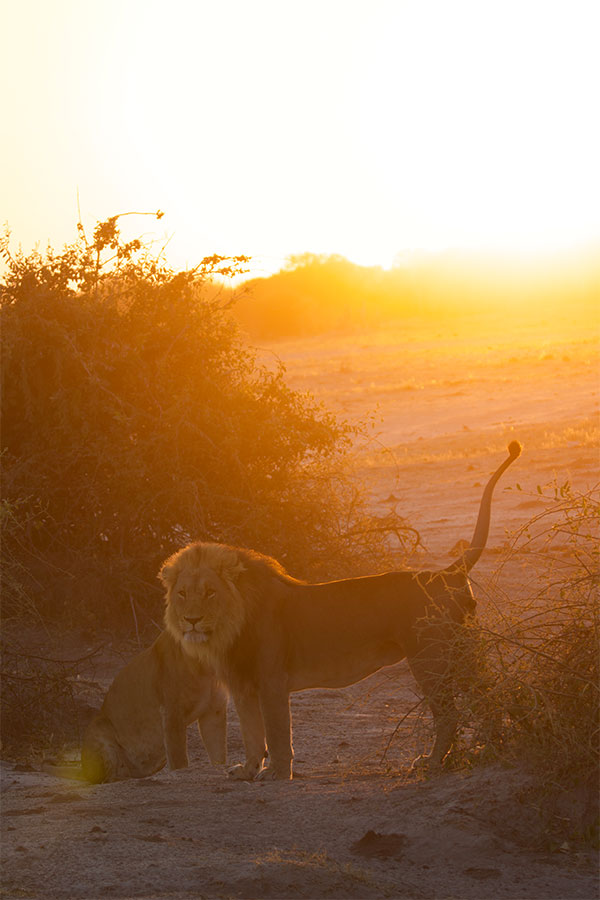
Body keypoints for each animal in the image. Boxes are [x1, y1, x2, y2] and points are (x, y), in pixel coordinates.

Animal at [159, 442, 520, 780]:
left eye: (210, 593)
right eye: (182, 594)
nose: (191, 620)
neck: (230, 626)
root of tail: (446, 572)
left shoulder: (272, 680)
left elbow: (276, 732)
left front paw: (277, 773)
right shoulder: (243, 686)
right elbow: (251, 734)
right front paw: (247, 770)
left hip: (430, 658)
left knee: (449, 713)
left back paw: (433, 762)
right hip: (462, 652)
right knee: (489, 698)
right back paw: (491, 751)